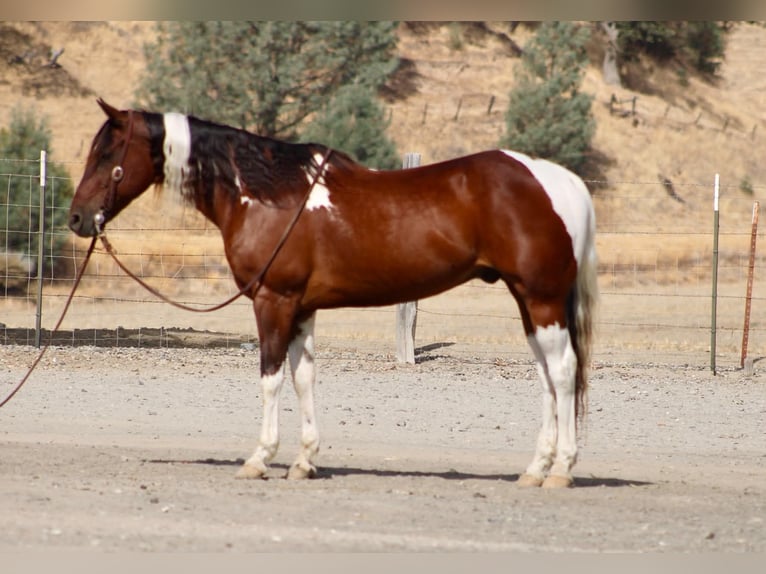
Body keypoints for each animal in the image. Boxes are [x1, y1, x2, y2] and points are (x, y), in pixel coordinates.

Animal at [68, 99, 598, 488]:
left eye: (107, 154)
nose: (77, 218)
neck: (266, 194)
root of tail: (562, 181)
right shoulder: (302, 308)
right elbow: (304, 378)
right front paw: (304, 461)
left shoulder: (274, 301)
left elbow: (271, 379)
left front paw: (259, 458)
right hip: (528, 302)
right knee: (547, 376)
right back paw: (535, 470)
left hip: (542, 298)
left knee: (563, 371)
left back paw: (561, 471)